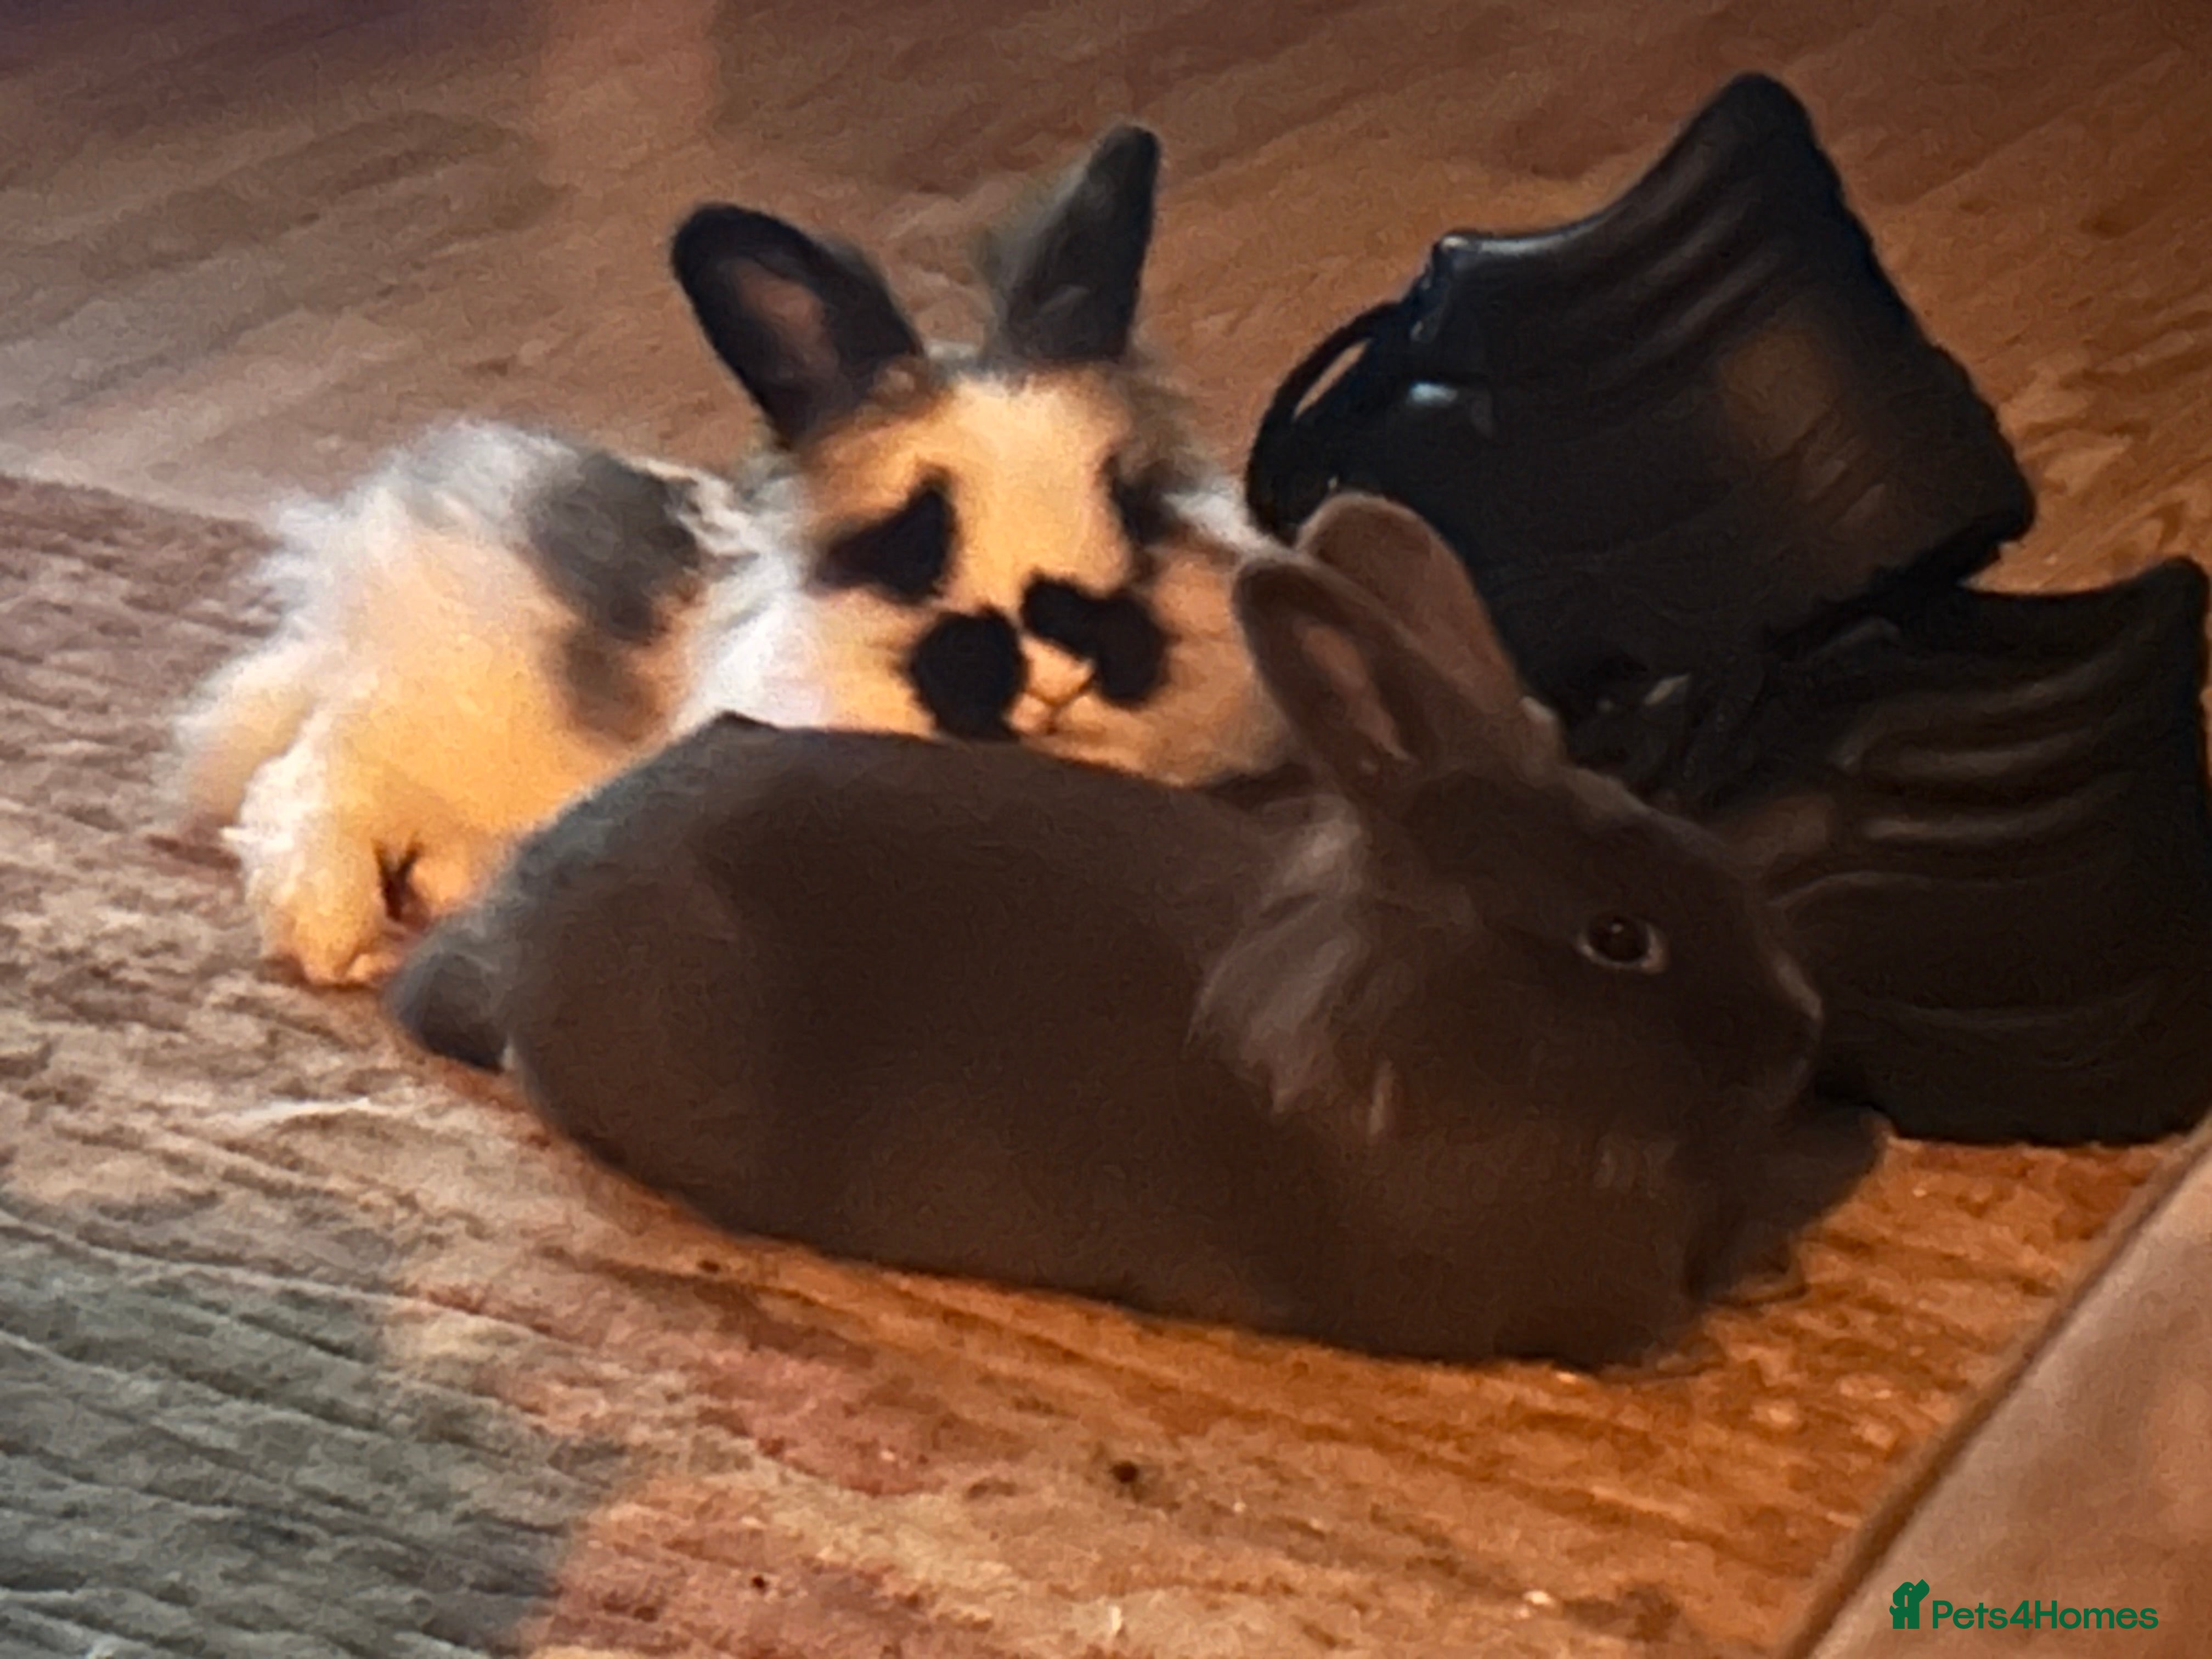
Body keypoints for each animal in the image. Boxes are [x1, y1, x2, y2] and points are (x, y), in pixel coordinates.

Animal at [169, 123, 1286, 987]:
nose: (1063, 666)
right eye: (917, 541)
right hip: (413, 723)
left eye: (1133, 507)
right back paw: (337, 934)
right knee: (311, 773)